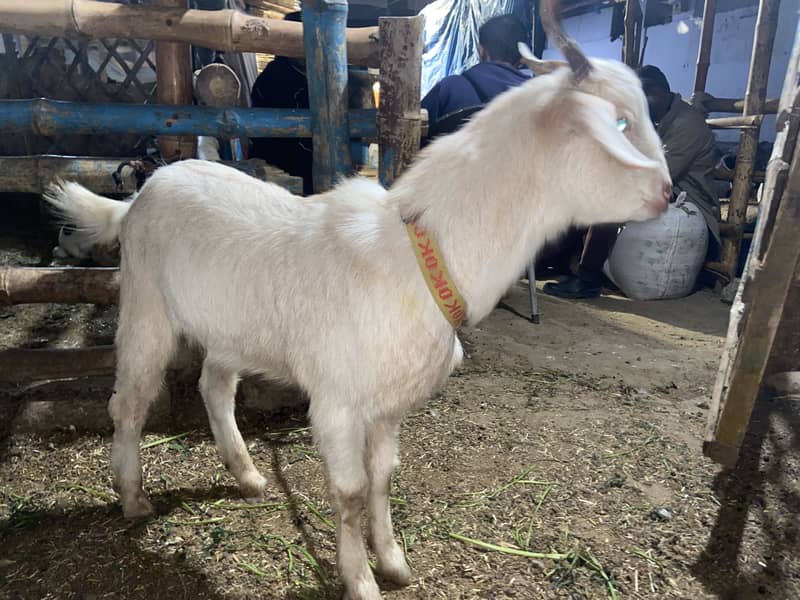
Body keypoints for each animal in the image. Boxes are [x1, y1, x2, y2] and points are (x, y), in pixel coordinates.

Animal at [43, 3, 670, 598]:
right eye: (619, 122)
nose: (667, 192)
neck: (415, 258)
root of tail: (142, 193)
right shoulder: (338, 403)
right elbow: (348, 492)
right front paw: (361, 580)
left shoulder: (389, 405)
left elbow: (383, 480)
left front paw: (393, 562)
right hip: (145, 305)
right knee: (128, 402)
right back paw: (132, 497)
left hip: (231, 328)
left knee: (214, 387)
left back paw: (248, 476)